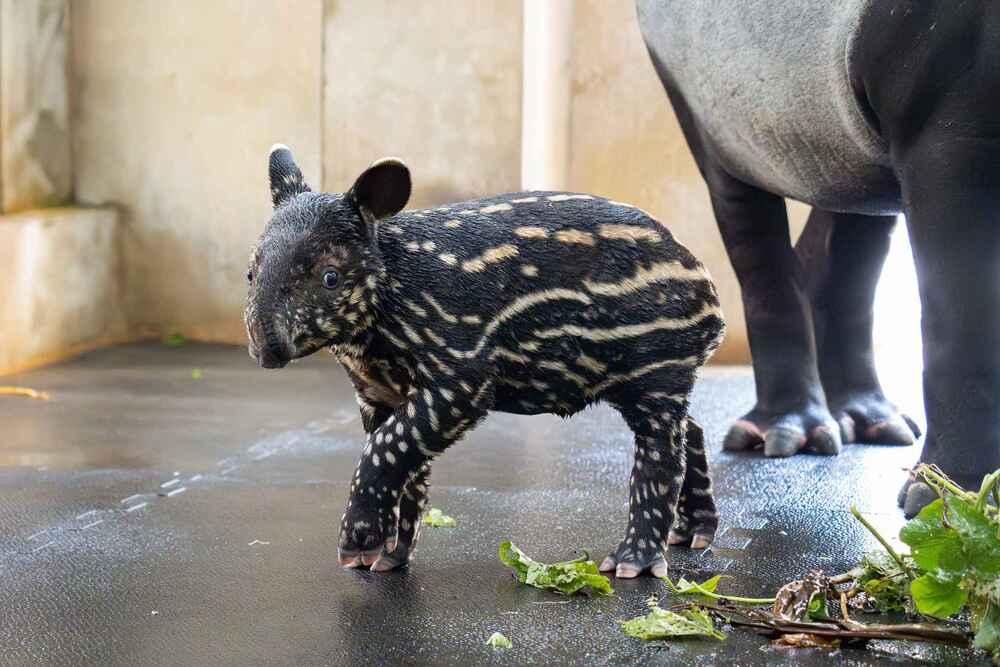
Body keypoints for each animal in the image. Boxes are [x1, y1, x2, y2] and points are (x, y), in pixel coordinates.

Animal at [245, 147, 724, 580]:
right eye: (251, 272)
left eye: (330, 277)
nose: (267, 348)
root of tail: (705, 283)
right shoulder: (379, 393)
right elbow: (404, 463)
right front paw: (389, 555)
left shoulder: (461, 371)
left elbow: (385, 449)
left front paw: (356, 544)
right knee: (691, 430)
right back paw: (692, 533)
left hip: (657, 362)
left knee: (661, 448)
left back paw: (631, 562)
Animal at [636, 0, 1000, 516]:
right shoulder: (951, 115)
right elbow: (965, 320)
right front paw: (957, 496)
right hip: (700, 92)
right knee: (750, 227)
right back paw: (788, 434)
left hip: (843, 138)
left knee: (847, 245)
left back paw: (873, 423)